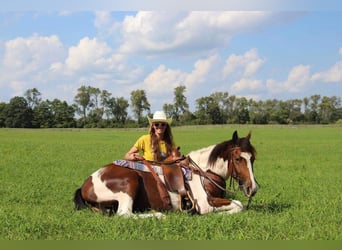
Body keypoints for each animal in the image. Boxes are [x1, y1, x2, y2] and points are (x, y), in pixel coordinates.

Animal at [73, 131, 258, 217]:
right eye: (238, 158)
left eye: (253, 158)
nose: (253, 188)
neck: (204, 172)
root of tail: (86, 183)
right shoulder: (205, 204)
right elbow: (238, 204)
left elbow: (238, 204)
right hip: (129, 182)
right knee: (124, 214)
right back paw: (159, 215)